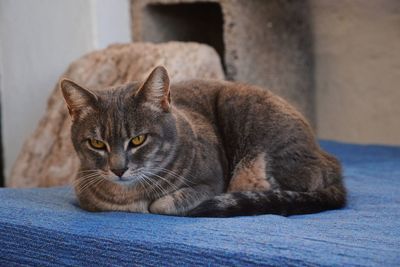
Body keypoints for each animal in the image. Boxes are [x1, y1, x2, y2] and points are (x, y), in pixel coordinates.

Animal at [61, 65, 346, 218]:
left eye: (138, 139)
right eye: (97, 144)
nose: (118, 169)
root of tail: (330, 163)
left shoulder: (211, 182)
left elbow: (162, 204)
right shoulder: (84, 194)